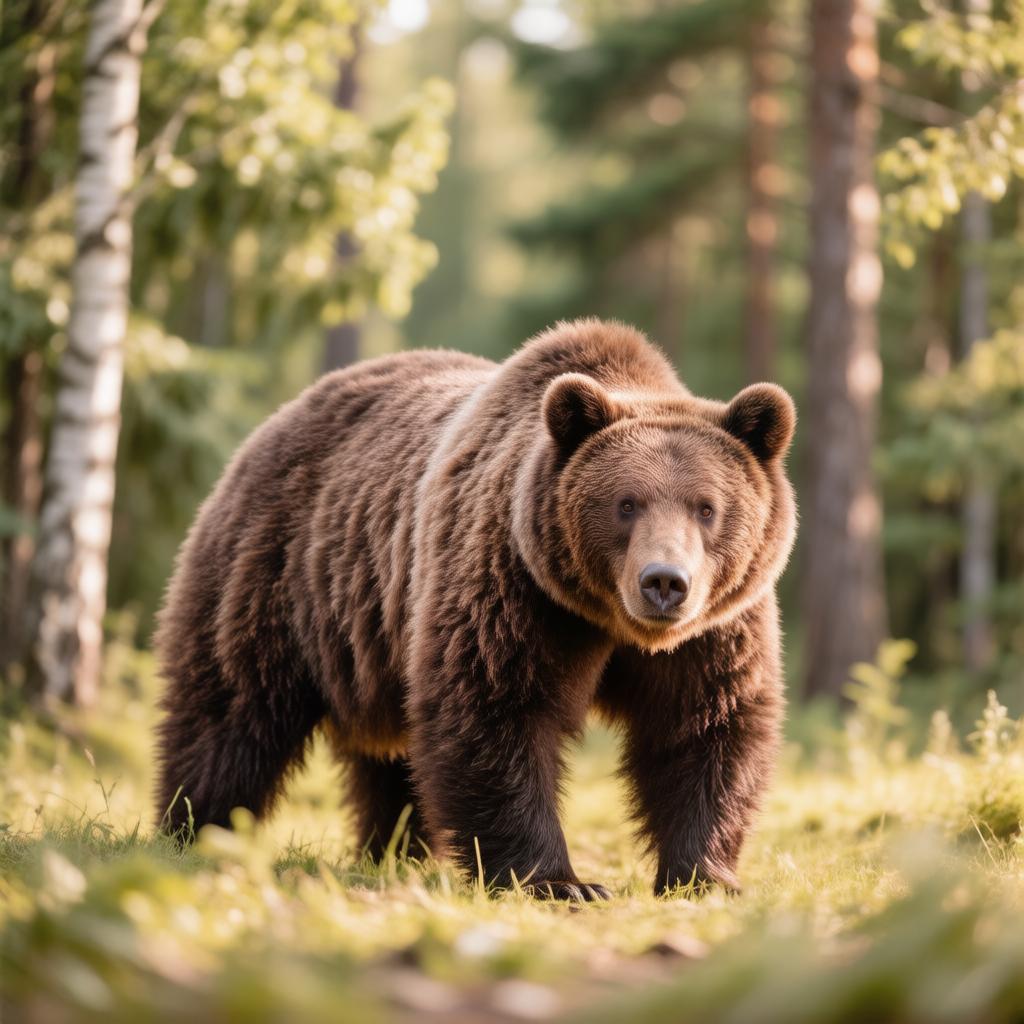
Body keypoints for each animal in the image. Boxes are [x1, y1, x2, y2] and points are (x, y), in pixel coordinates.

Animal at [154, 318, 796, 899]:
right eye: (626, 503)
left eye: (706, 507)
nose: (664, 582)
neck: (607, 618)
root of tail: (277, 419)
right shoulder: (514, 587)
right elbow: (494, 708)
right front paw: (561, 882)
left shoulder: (714, 630)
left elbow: (707, 726)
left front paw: (704, 877)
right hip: (280, 574)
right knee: (231, 711)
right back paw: (195, 830)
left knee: (391, 761)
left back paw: (396, 852)